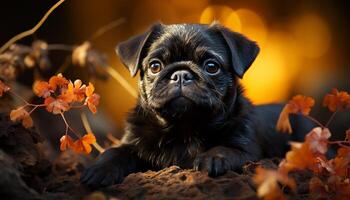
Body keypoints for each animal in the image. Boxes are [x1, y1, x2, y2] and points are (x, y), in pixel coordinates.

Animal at [81, 22, 314, 188]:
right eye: (155, 66)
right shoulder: (132, 143)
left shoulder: (247, 150)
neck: (184, 128)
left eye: (211, 66)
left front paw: (212, 158)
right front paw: (98, 169)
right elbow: (114, 152)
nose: (181, 74)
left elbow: (226, 149)